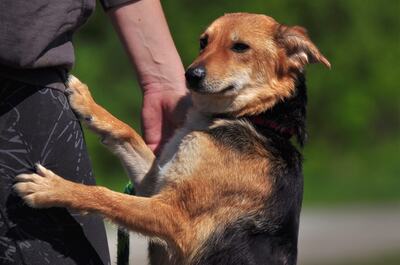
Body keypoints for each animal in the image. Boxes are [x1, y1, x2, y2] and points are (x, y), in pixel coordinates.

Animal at [14, 13, 330, 264]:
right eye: (203, 42)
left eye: (240, 47)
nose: (190, 75)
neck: (259, 119)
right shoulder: (155, 183)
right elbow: (127, 133)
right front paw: (87, 103)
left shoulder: (176, 216)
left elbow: (107, 197)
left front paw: (53, 188)